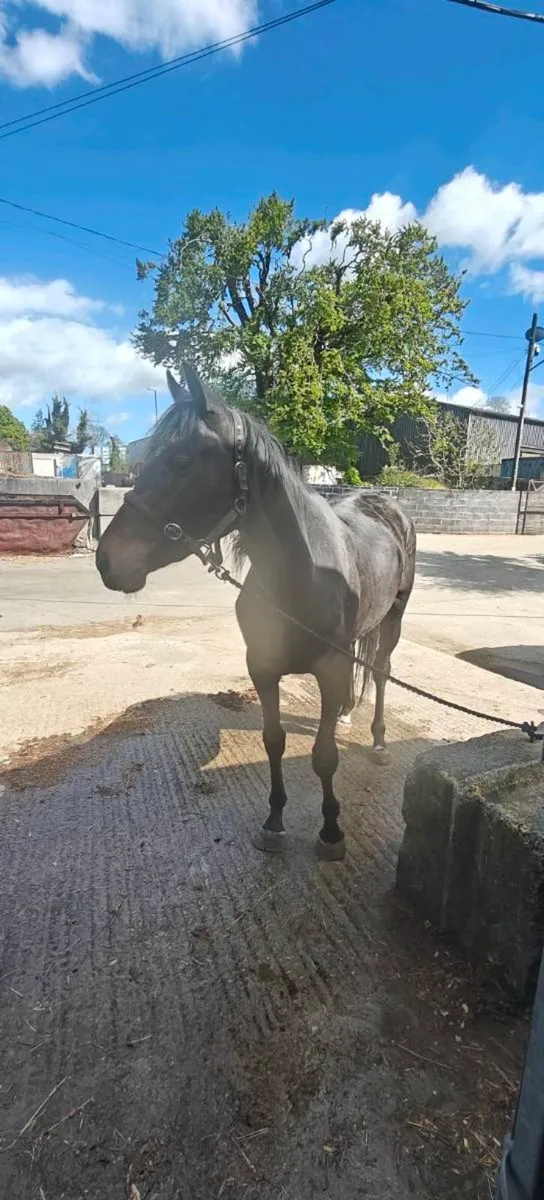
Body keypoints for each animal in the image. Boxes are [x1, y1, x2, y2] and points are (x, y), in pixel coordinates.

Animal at [96, 365, 416, 861]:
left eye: (182, 459)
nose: (106, 560)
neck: (304, 574)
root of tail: (387, 505)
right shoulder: (262, 669)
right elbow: (274, 741)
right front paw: (274, 820)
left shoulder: (331, 668)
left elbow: (324, 756)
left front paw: (331, 831)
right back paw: (346, 715)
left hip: (394, 617)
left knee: (380, 671)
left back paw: (379, 741)